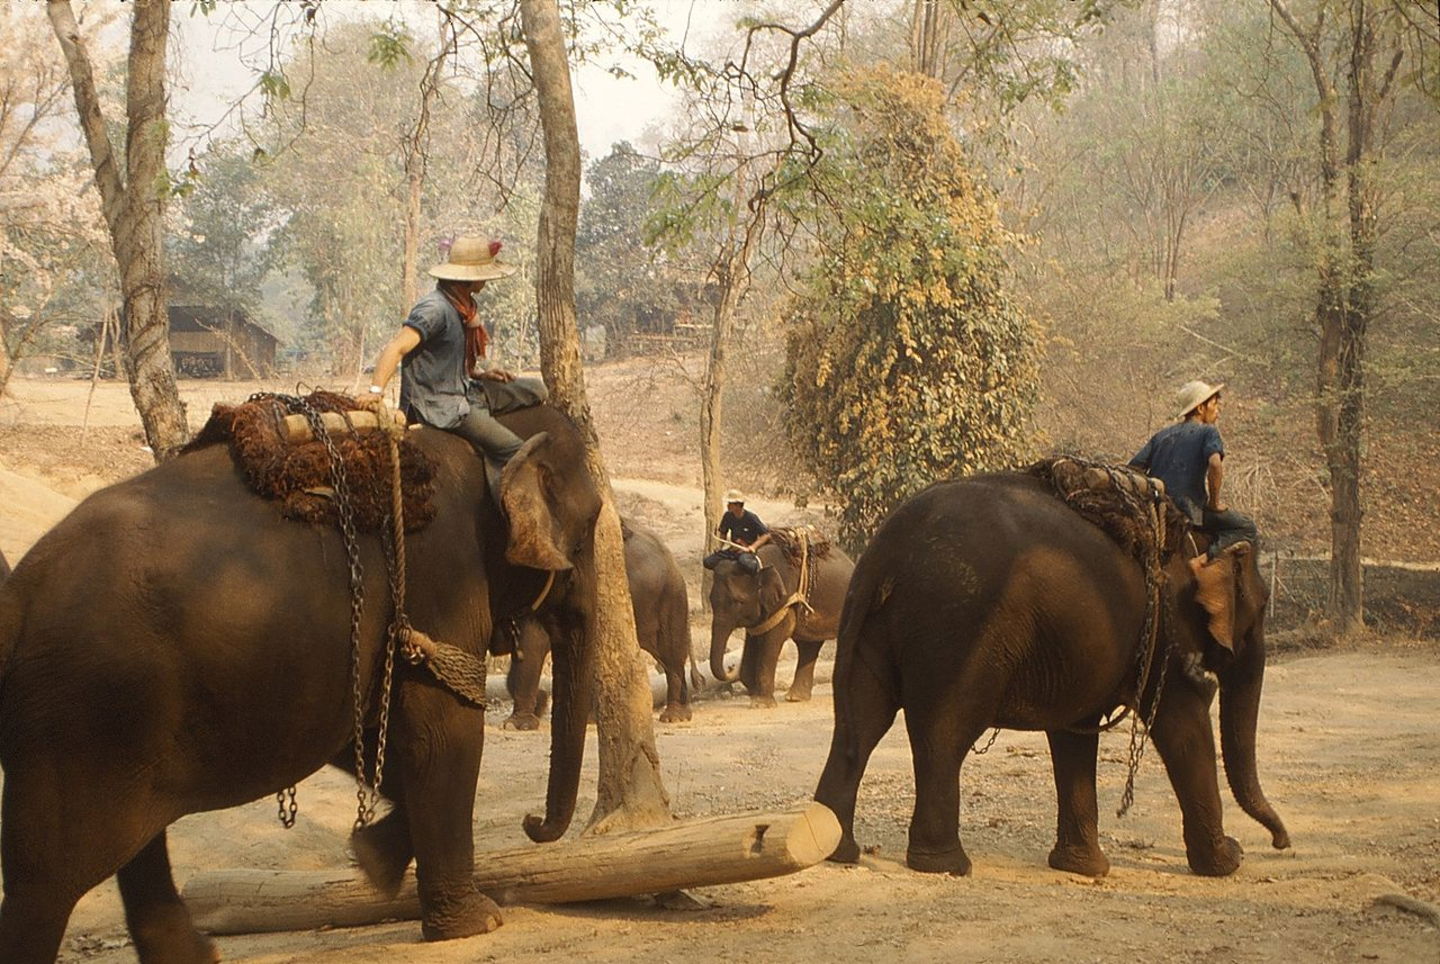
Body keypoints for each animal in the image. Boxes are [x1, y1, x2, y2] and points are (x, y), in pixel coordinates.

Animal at [0, 403, 604, 956]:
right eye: (589, 529)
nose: (532, 821)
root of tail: (18, 594)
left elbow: (376, 740)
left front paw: (373, 860)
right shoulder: (443, 576)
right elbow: (443, 732)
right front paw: (477, 923)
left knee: (130, 849)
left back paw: (195, 955)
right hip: (83, 716)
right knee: (46, 883)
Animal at [504, 515, 694, 726]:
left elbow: (533, 641)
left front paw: (519, 723)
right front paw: (537, 707)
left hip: (671, 595)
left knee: (671, 652)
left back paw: (674, 716)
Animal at [708, 533, 852, 706]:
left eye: (738, 602)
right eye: (710, 599)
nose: (730, 668)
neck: (760, 564)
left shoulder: (785, 600)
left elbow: (774, 637)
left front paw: (760, 704)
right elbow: (754, 638)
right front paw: (754, 695)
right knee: (808, 645)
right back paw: (795, 698)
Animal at [812, 472, 1296, 881]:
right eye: (1261, 606)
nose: (1281, 842)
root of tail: (887, 549)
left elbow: (1073, 732)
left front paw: (1083, 869)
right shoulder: (1170, 630)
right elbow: (1182, 722)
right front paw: (1227, 863)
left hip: (873, 622)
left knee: (861, 722)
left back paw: (838, 850)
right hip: (958, 630)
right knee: (944, 733)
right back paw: (946, 866)